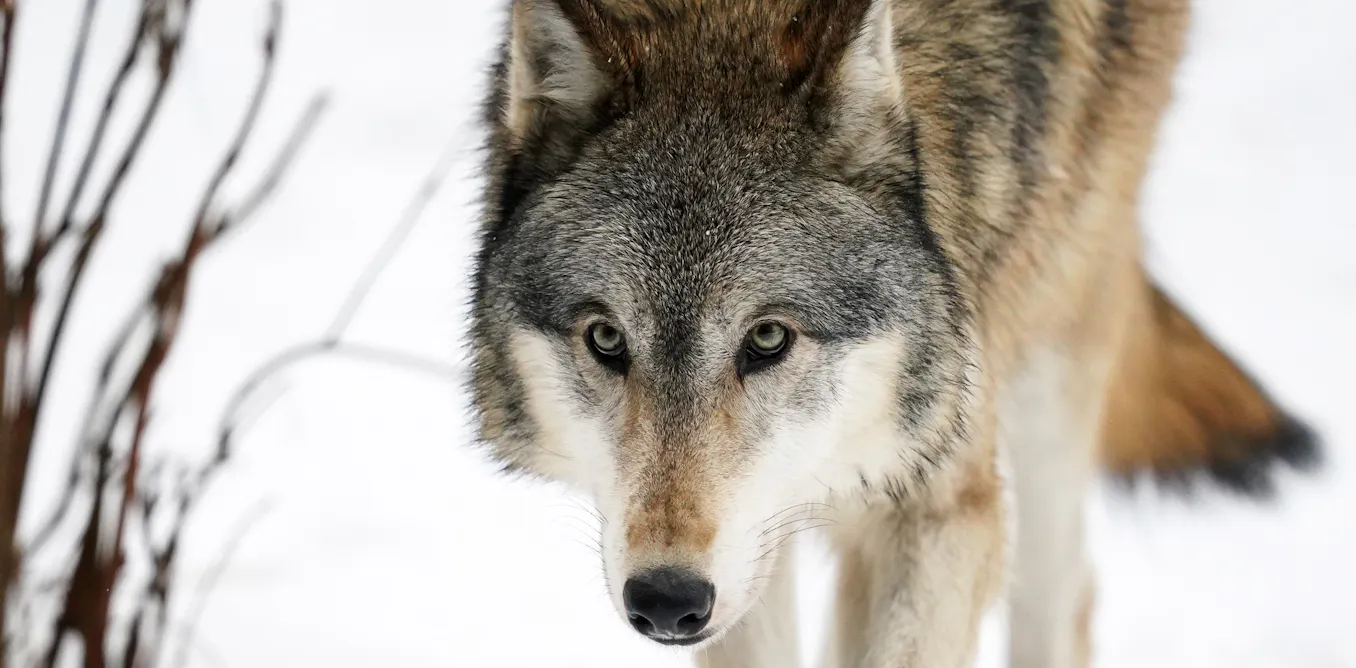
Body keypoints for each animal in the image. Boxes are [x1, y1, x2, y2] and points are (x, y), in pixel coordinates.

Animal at [466, 0, 1320, 666]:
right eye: (607, 340)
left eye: (768, 339)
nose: (667, 598)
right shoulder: (755, 551)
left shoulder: (941, 505)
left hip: (1055, 343)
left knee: (1063, 594)